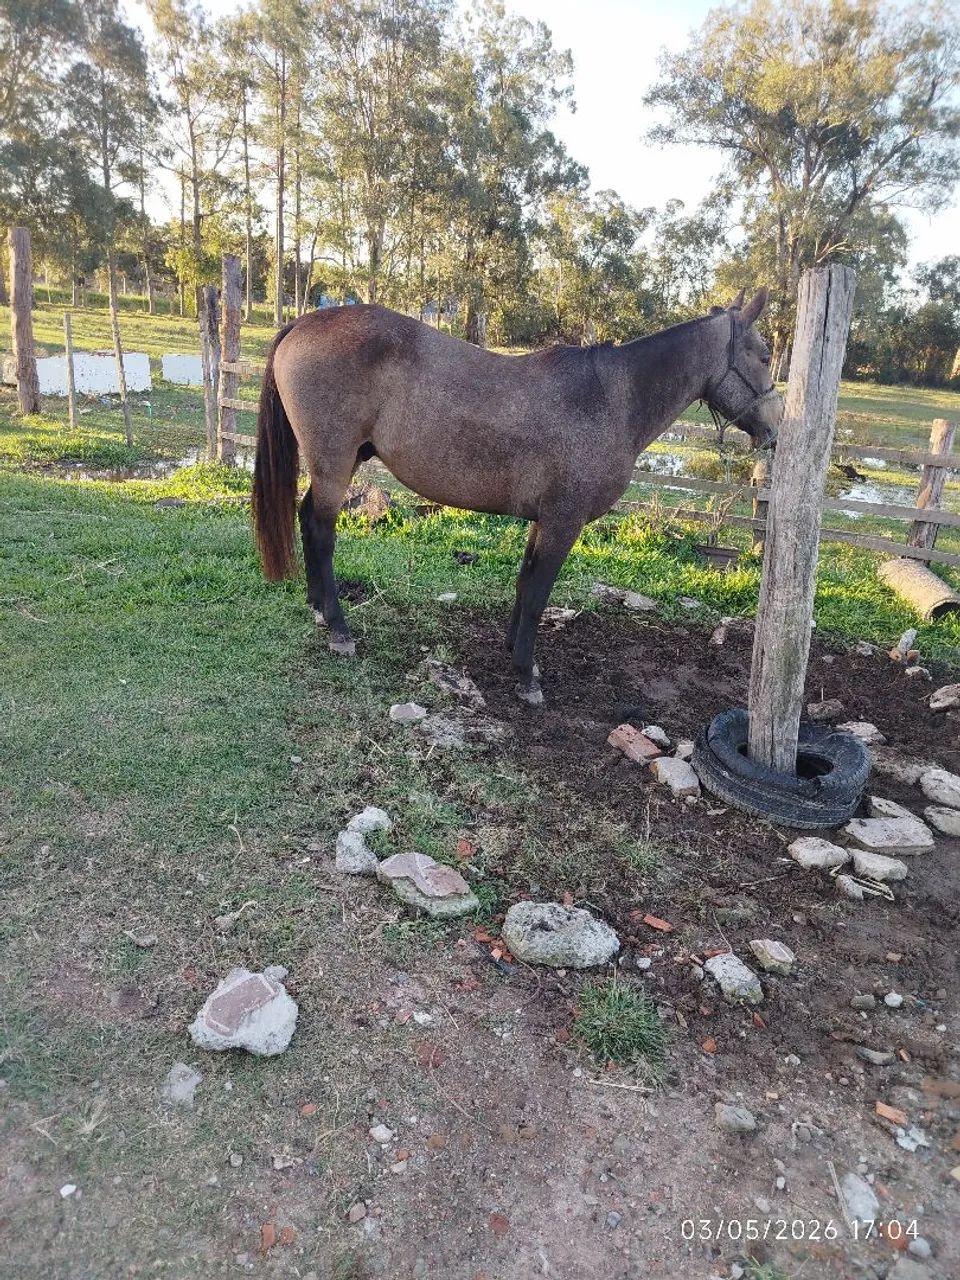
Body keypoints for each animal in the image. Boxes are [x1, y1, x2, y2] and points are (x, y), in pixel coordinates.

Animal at [252, 288, 782, 704]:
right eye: (763, 355)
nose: (774, 430)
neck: (610, 399)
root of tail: (302, 322)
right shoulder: (564, 522)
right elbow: (539, 594)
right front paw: (528, 677)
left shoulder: (543, 520)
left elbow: (525, 585)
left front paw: (514, 652)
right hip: (334, 464)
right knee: (321, 531)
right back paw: (339, 627)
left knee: (307, 521)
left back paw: (318, 606)